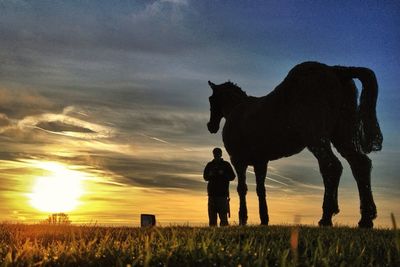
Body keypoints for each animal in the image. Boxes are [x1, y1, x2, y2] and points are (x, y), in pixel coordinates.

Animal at [208, 61, 382, 229]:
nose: (211, 126)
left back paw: (326, 217)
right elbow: (260, 189)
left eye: (211, 99)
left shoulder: (238, 161)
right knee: (360, 165)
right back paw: (366, 219)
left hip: (316, 139)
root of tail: (337, 70)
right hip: (342, 137)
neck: (237, 111)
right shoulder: (260, 162)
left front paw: (243, 218)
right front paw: (264, 219)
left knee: (331, 167)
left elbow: (242, 189)